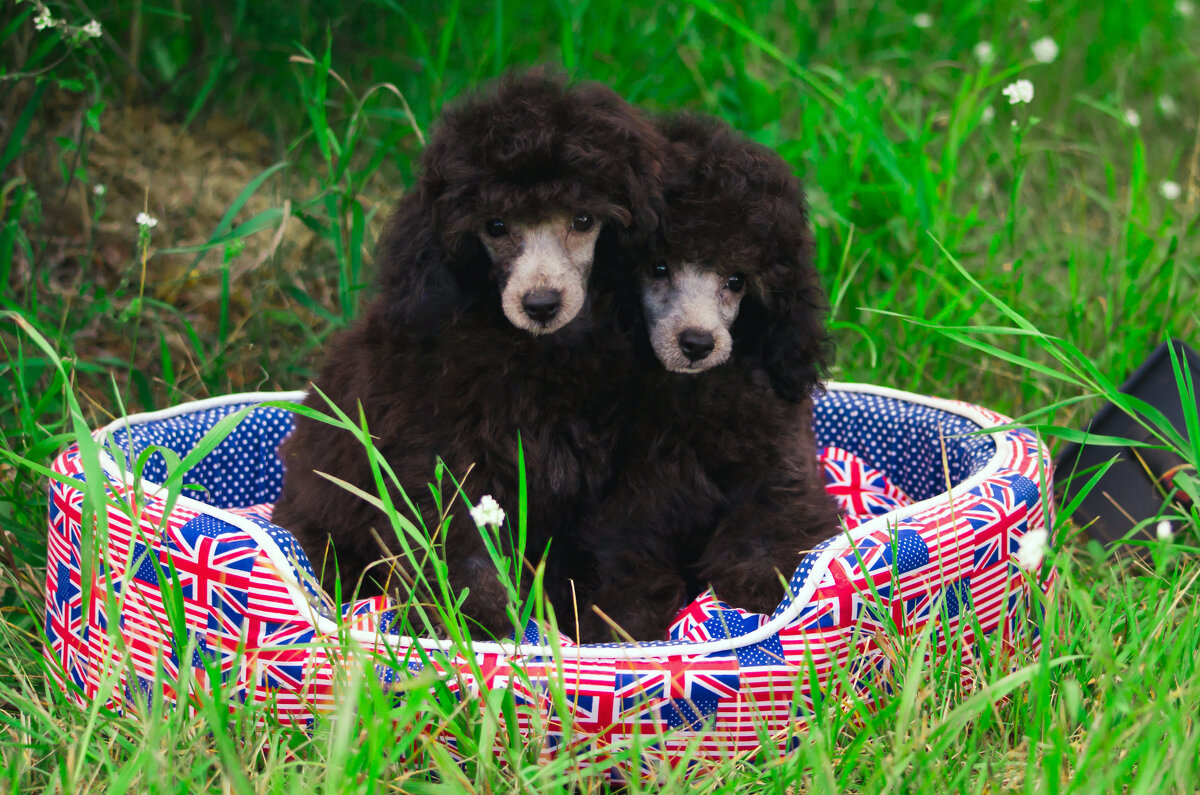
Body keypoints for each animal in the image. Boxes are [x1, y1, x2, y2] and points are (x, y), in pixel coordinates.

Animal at [271, 74, 667, 643]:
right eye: (495, 226)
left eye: (583, 220)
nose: (540, 304)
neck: (539, 354)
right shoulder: (444, 450)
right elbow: (456, 533)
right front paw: (465, 618)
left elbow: (622, 538)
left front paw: (619, 622)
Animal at [576, 113, 840, 648]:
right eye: (658, 267)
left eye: (737, 280)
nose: (697, 343)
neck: (693, 392)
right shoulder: (632, 490)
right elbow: (626, 553)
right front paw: (621, 623)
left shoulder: (778, 462)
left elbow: (768, 526)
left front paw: (759, 595)